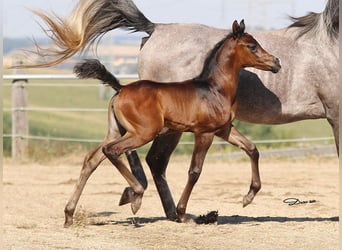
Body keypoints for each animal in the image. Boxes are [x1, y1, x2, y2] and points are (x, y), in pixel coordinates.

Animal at [22, 0, 338, 222]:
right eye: (251, 45)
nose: (276, 63)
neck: (213, 88)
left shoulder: (224, 129)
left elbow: (252, 149)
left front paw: (248, 197)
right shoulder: (206, 133)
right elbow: (195, 170)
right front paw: (187, 211)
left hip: (123, 130)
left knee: (96, 158)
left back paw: (72, 213)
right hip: (147, 132)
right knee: (134, 156)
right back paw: (144, 199)